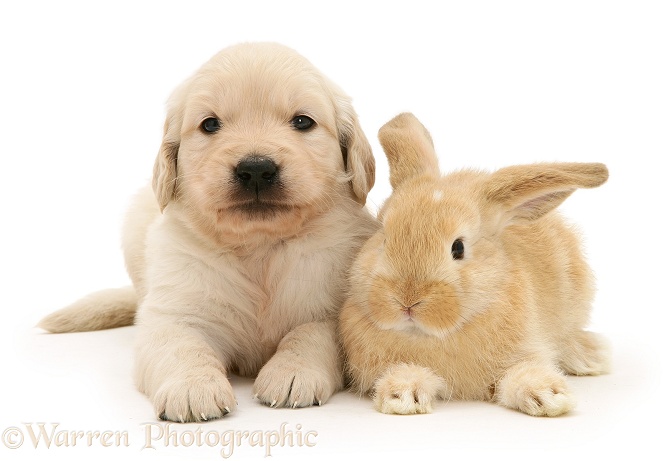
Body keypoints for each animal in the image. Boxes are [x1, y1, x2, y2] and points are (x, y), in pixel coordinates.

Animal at [37, 42, 378, 420]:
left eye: (303, 121)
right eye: (210, 124)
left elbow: (312, 334)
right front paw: (192, 388)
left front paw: (292, 371)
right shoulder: (173, 313)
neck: (259, 247)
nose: (256, 169)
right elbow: (180, 346)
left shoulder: (335, 308)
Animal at [340, 112, 608, 416]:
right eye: (384, 238)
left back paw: (590, 356)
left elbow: (522, 373)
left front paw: (549, 397)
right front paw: (403, 396)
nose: (407, 300)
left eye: (458, 248)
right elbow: (406, 371)